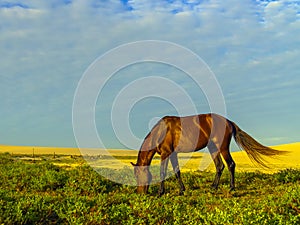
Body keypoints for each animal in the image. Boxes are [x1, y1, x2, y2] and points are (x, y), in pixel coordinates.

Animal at [131, 113, 286, 196]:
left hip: (222, 147)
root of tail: (228, 121)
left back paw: (231, 188)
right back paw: (213, 187)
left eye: (138, 175)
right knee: (219, 166)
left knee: (230, 164)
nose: (140, 192)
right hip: (213, 148)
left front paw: (160, 193)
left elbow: (163, 172)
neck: (160, 132)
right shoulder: (172, 153)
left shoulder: (165, 153)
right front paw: (182, 190)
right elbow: (177, 172)